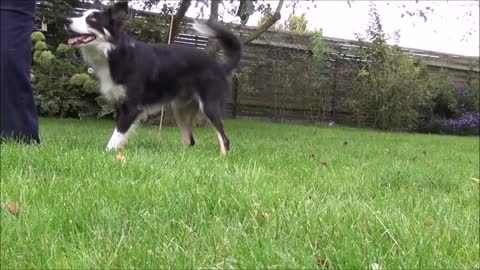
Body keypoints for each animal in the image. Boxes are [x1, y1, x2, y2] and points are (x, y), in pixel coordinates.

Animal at [65, 1, 242, 154]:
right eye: (81, 14)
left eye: (92, 19)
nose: (67, 21)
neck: (114, 53)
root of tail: (219, 66)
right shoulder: (118, 105)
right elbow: (119, 135)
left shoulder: (132, 108)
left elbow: (115, 137)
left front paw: (106, 154)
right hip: (180, 109)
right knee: (189, 141)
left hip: (209, 106)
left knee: (224, 139)